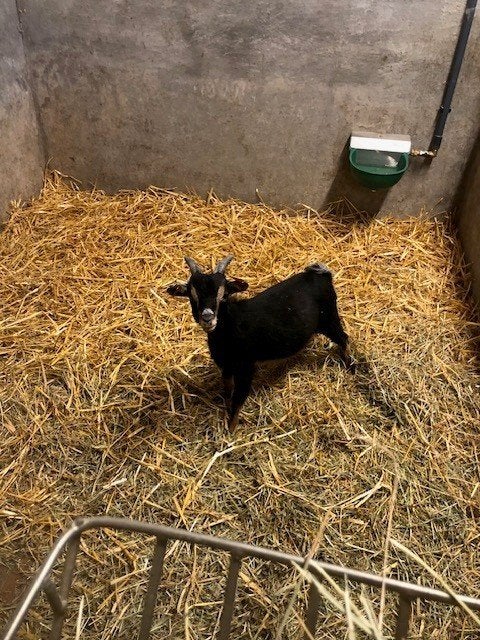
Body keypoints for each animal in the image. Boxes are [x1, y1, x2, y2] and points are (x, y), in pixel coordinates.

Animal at [167, 255, 353, 430]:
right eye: (192, 295)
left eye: (224, 294)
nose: (207, 318)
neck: (231, 325)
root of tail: (322, 275)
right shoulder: (226, 367)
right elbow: (228, 392)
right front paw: (226, 415)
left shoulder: (246, 368)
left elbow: (238, 400)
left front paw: (231, 431)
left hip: (329, 319)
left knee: (344, 338)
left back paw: (350, 366)